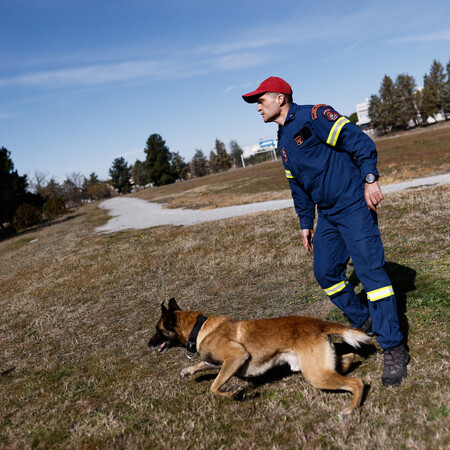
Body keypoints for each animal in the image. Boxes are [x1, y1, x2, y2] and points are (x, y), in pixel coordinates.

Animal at [149, 298, 370, 416]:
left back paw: (350, 411)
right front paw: (188, 370)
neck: (199, 327)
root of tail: (319, 324)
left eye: (158, 330)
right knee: (349, 357)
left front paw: (234, 392)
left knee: (357, 382)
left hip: (316, 375)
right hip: (319, 367)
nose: (149, 344)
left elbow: (214, 386)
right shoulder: (219, 362)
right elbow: (202, 364)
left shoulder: (236, 357)